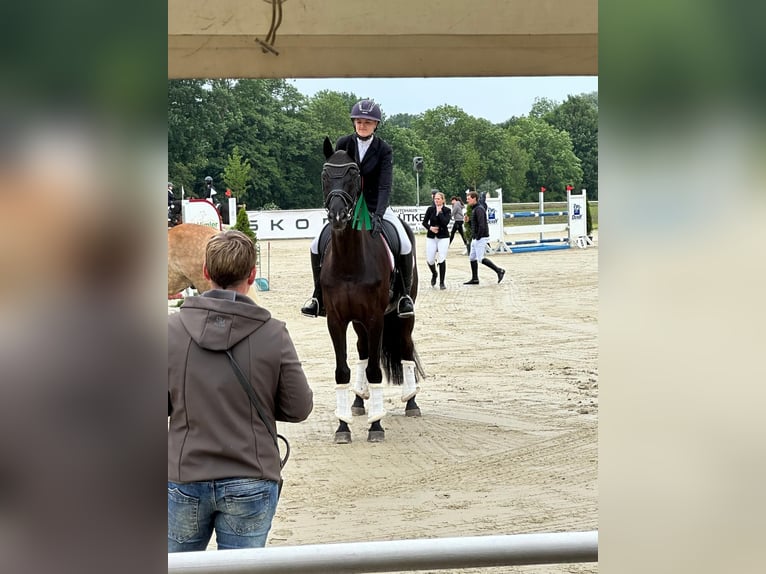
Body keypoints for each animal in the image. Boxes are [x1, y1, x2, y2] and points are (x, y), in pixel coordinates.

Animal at [318, 138, 426, 446]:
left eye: (354, 174)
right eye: (325, 175)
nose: (337, 216)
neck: (350, 260)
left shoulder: (376, 318)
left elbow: (376, 370)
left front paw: (376, 426)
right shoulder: (337, 320)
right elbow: (342, 370)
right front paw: (342, 427)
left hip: (402, 314)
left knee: (405, 346)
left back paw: (411, 402)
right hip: (357, 322)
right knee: (363, 349)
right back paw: (358, 401)